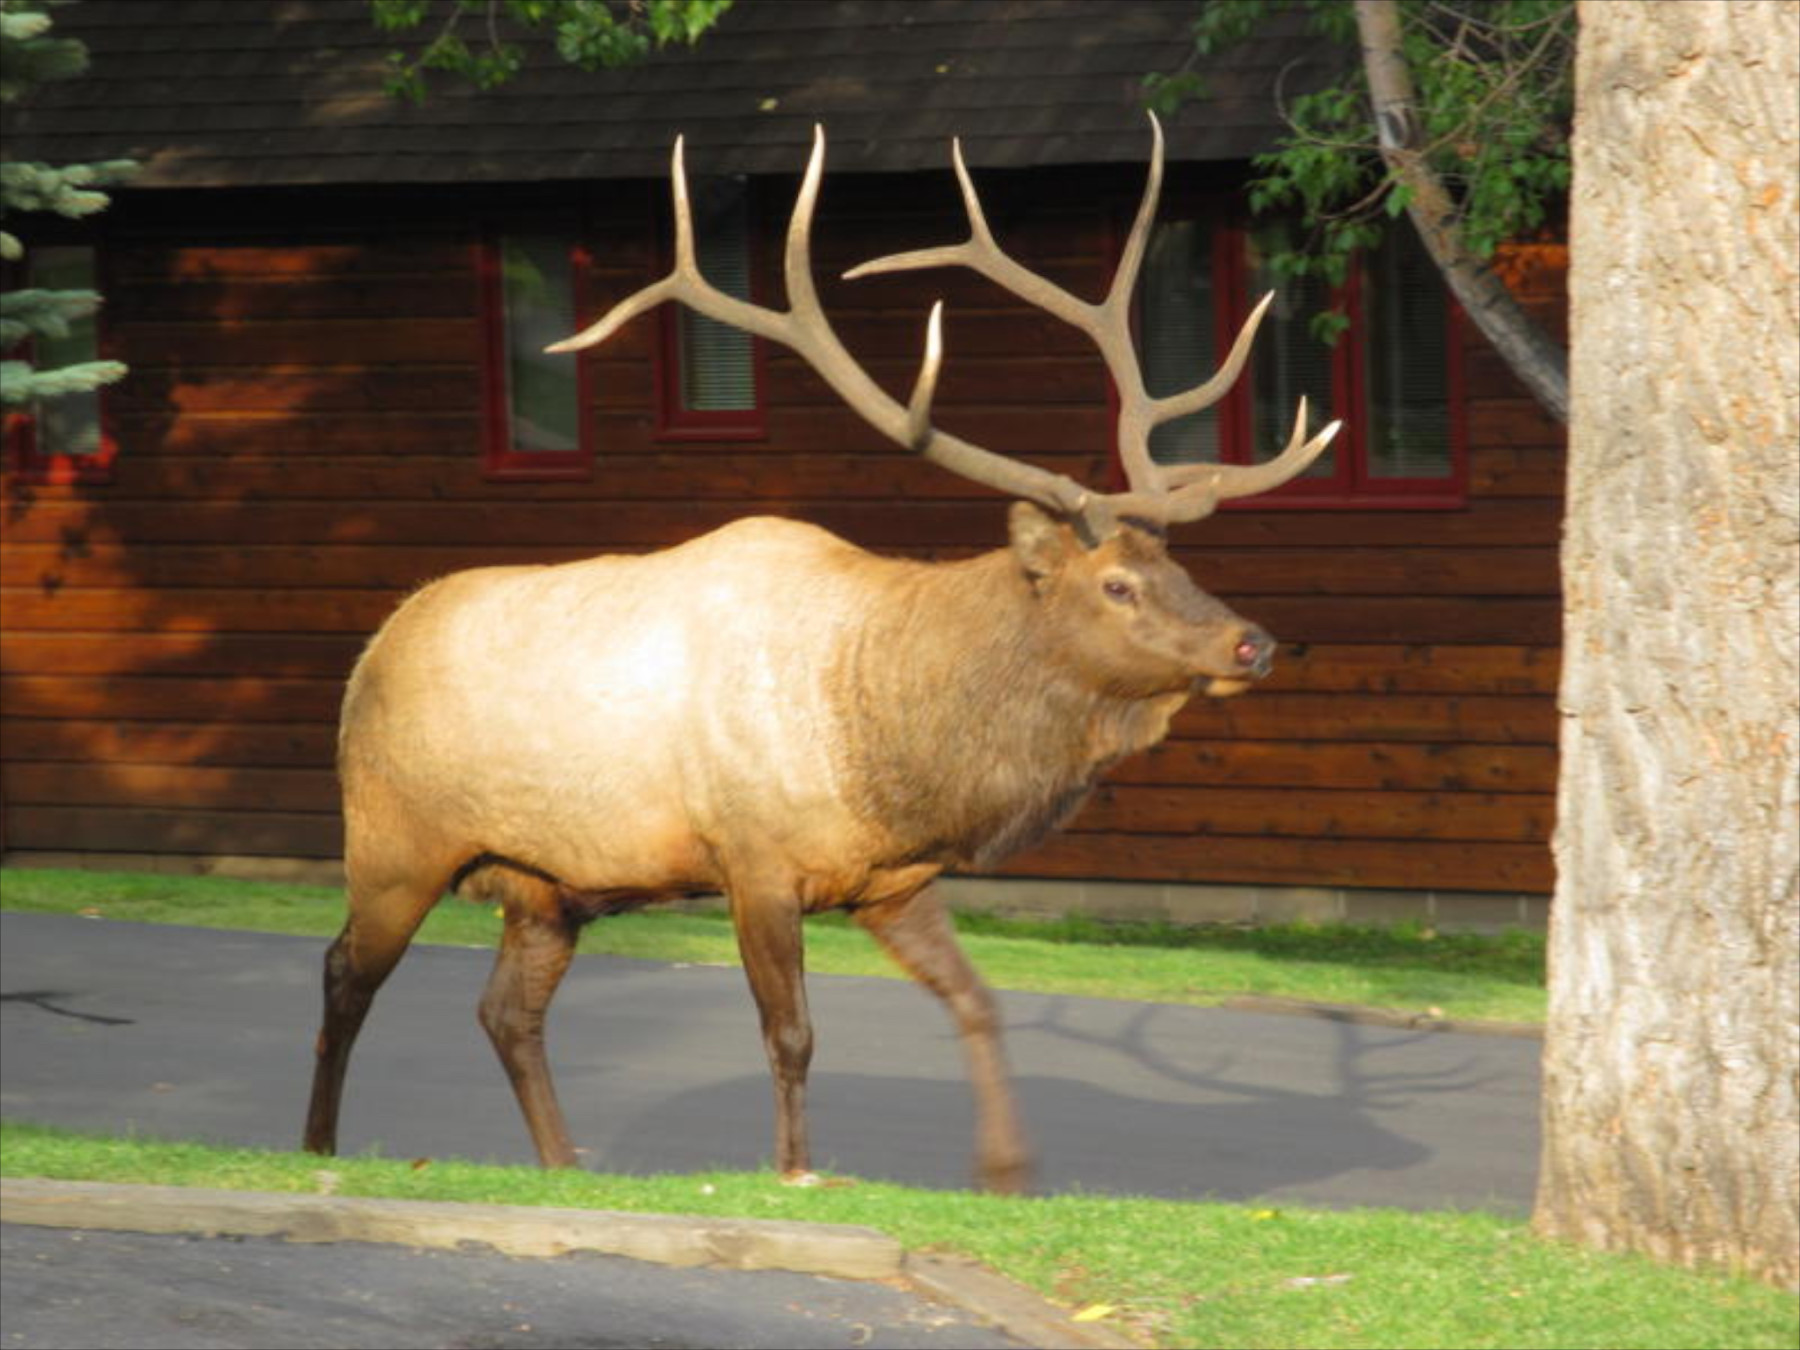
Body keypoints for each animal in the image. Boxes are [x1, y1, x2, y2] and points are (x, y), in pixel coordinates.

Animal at [303, 114, 1338, 1195]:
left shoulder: (892, 881)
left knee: (507, 1011)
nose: (1252, 642)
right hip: (393, 839)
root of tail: (369, 655)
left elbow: (977, 1000)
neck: (892, 742)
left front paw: (1006, 1173)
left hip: (544, 883)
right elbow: (791, 1033)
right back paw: (318, 1145)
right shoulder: (753, 857)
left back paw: (562, 1167)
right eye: (1117, 585)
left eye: (1174, 561)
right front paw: (795, 1172)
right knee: (344, 973)